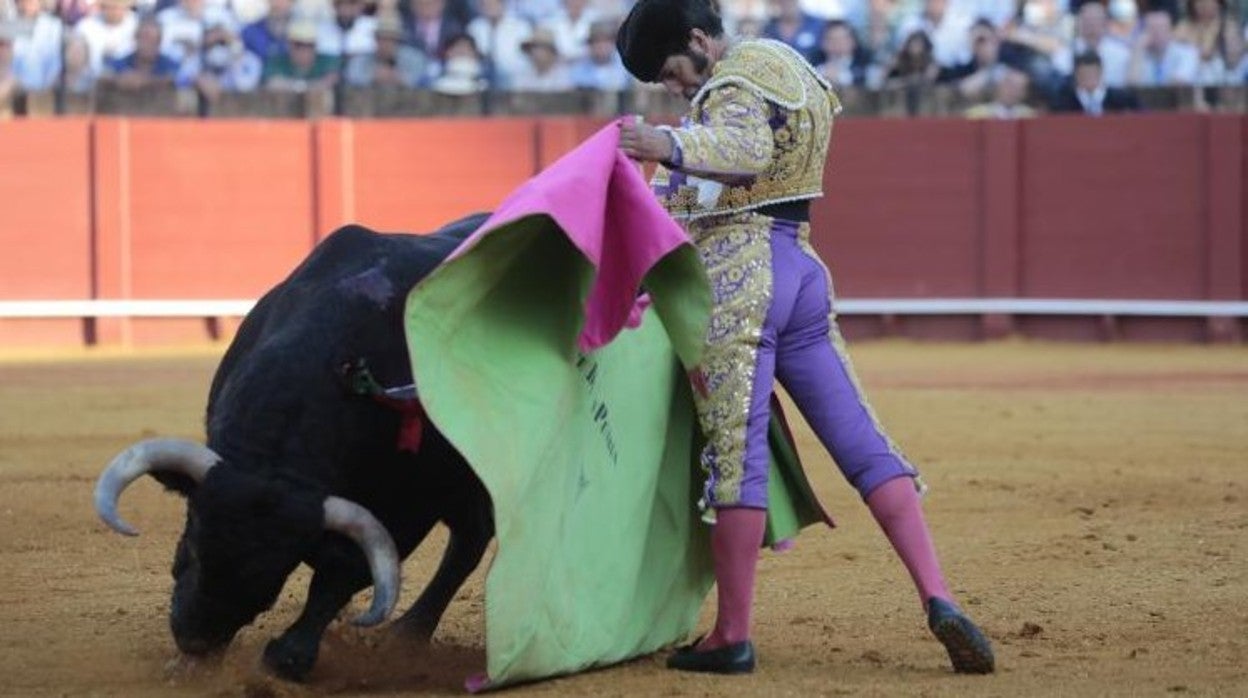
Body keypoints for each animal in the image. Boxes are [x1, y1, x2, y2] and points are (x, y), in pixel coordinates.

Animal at [93, 214, 496, 684]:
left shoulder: (410, 506)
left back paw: (406, 636)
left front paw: (286, 659)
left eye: (273, 574)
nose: (195, 640)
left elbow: (344, 572)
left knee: (471, 538)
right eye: (190, 544)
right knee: (472, 532)